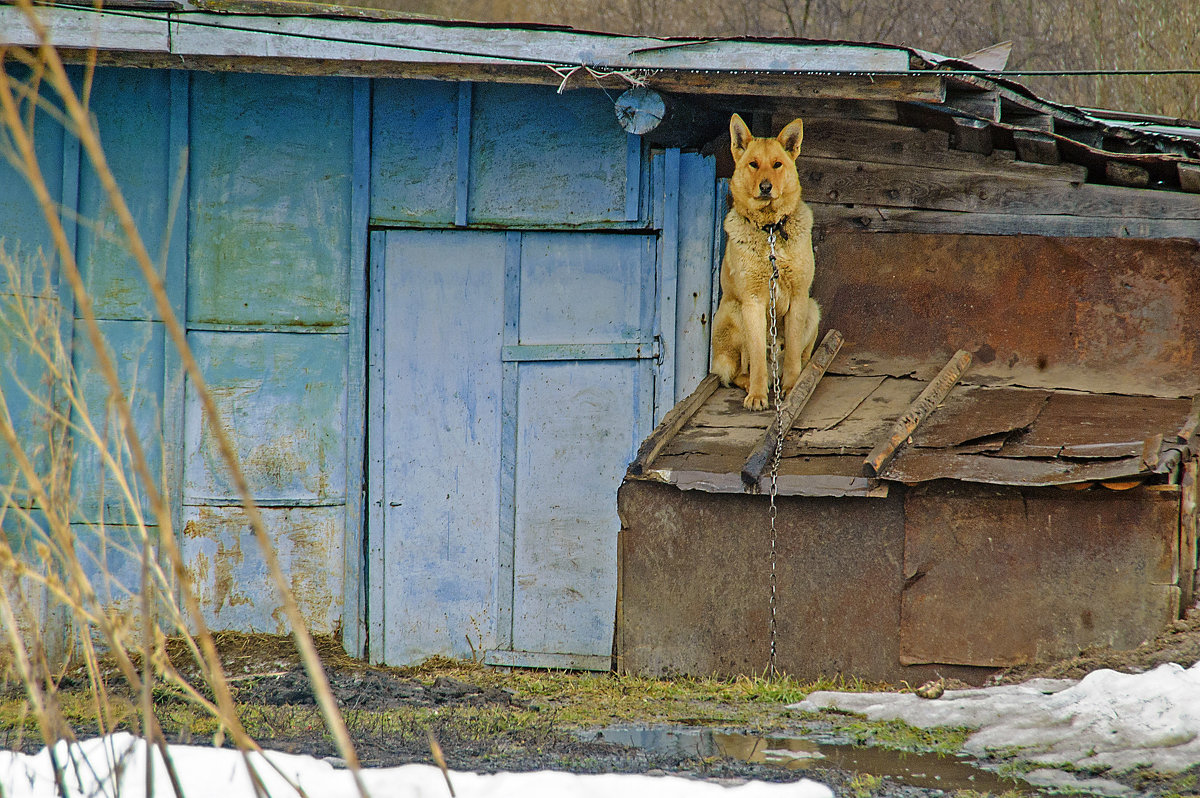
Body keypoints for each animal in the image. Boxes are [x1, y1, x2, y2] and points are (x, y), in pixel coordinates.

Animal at [705, 112, 820, 408]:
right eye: (753, 164)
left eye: (777, 164)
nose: (766, 187)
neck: (770, 230)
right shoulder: (753, 302)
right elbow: (756, 357)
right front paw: (757, 394)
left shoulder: (799, 298)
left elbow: (792, 354)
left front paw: (792, 387)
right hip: (734, 312)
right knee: (738, 370)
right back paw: (755, 384)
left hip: (813, 309)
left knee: (798, 356)